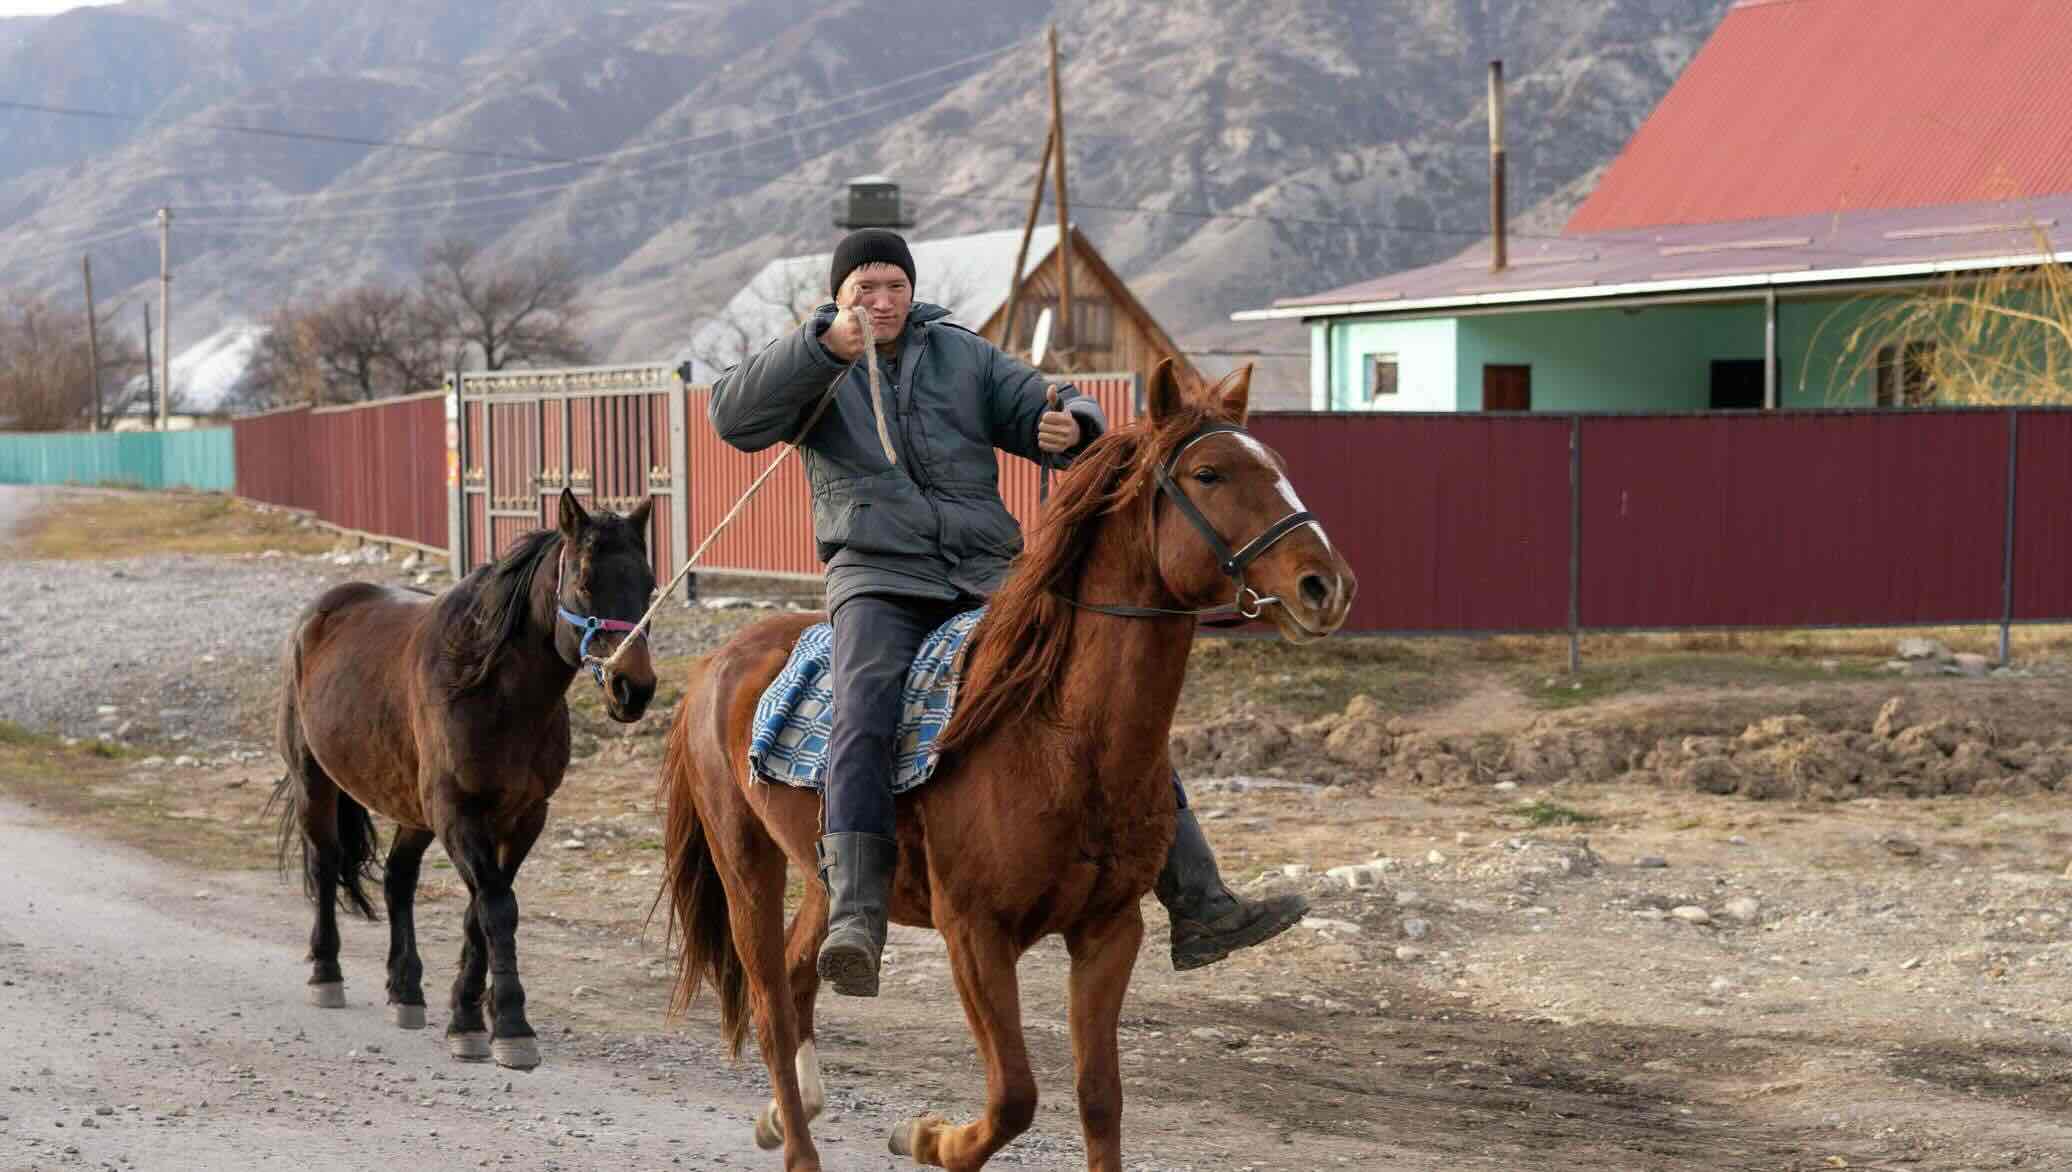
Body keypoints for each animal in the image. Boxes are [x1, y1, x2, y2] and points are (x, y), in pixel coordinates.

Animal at [271, 490, 650, 1068]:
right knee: (327, 863)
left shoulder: (523, 819)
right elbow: (496, 907)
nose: (635, 689)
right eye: (585, 580)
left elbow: (481, 911)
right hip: (316, 784)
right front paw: (511, 1025)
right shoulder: (458, 815)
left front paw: (468, 1016)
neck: (493, 692)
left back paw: (405, 990)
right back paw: (326, 973)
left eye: (649, 583)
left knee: (398, 879)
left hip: (412, 809)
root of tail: (319, 612)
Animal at [654, 362, 1350, 1167]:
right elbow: (1016, 1095)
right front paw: (927, 1137)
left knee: (802, 976)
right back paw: (798, 1142)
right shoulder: (975, 936)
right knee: (770, 1003)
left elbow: (1099, 1098)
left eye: (1276, 466)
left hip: (827, 880)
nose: (1326, 585)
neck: (1057, 739)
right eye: (1209, 473)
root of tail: (718, 664)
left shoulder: (1109, 932)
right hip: (745, 866)